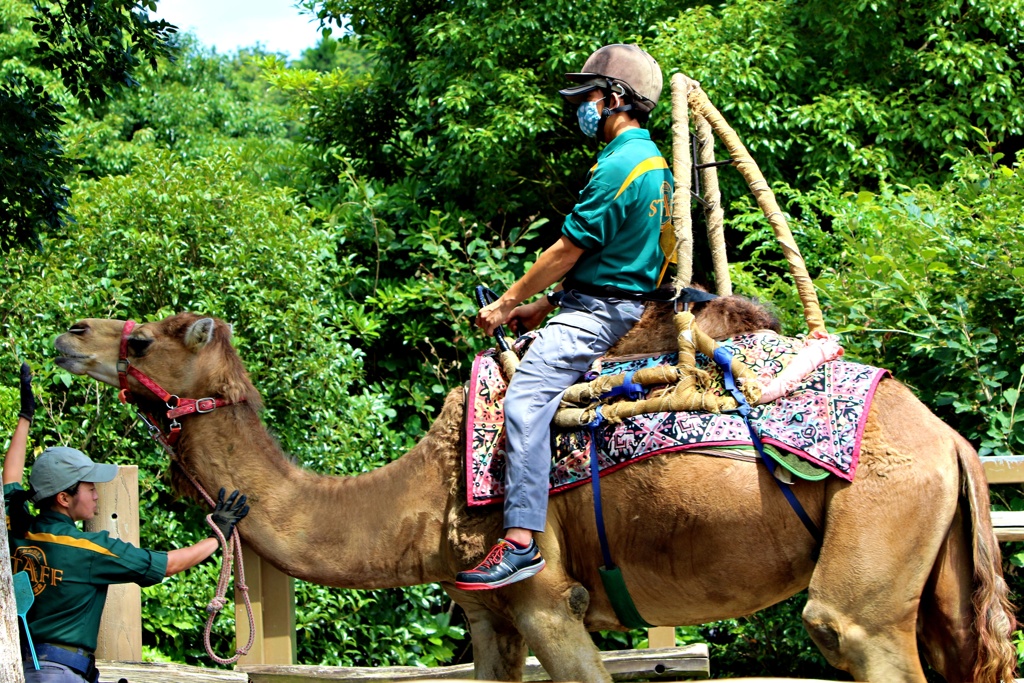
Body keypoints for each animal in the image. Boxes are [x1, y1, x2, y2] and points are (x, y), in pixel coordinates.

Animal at [54, 305, 1015, 683]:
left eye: (140, 340)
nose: (69, 333)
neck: (422, 488)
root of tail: (953, 441)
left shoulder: (548, 597)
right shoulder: (491, 616)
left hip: (873, 546)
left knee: (846, 627)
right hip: (936, 577)